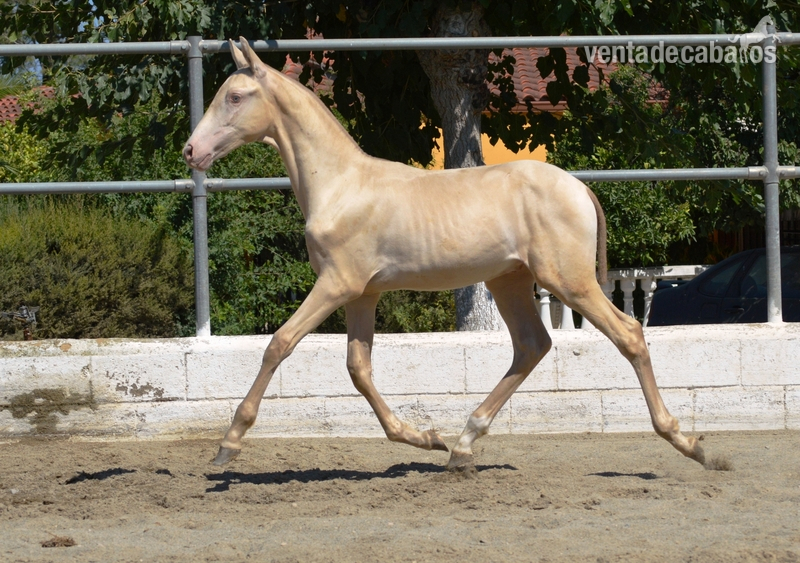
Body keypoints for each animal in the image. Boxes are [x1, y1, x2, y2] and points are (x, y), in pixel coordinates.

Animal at [183, 37, 711, 471]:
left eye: (235, 96)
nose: (191, 151)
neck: (340, 186)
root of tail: (580, 188)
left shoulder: (336, 284)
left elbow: (280, 344)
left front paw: (229, 443)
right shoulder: (362, 294)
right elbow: (358, 368)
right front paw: (424, 438)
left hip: (568, 281)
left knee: (629, 334)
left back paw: (690, 445)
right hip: (510, 280)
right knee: (532, 345)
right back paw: (461, 445)